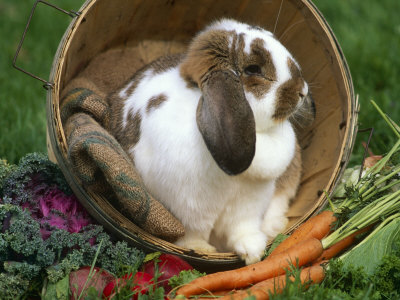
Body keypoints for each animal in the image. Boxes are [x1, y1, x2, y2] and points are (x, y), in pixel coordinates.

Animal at [108, 17, 316, 264]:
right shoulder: (187, 209)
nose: (303, 91)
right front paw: (200, 250)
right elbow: (191, 234)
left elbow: (242, 228)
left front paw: (253, 253)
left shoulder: (248, 206)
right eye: (253, 69)